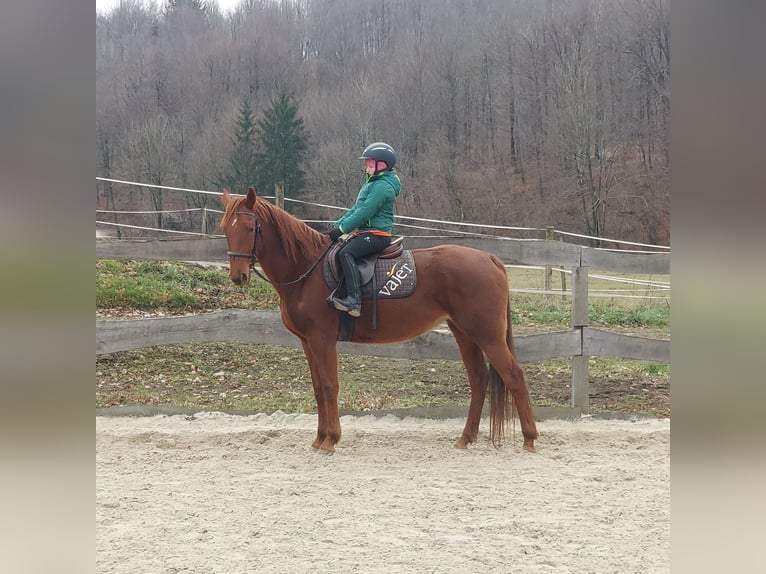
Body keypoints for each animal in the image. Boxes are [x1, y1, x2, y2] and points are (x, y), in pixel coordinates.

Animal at [219, 189, 536, 454]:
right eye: (225, 229)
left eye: (250, 228)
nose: (238, 276)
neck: (307, 269)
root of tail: (490, 258)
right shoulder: (308, 342)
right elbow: (318, 389)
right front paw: (320, 438)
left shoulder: (322, 339)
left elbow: (330, 386)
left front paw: (331, 440)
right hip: (464, 333)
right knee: (479, 379)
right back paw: (466, 438)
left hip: (488, 335)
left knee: (514, 376)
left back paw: (529, 439)